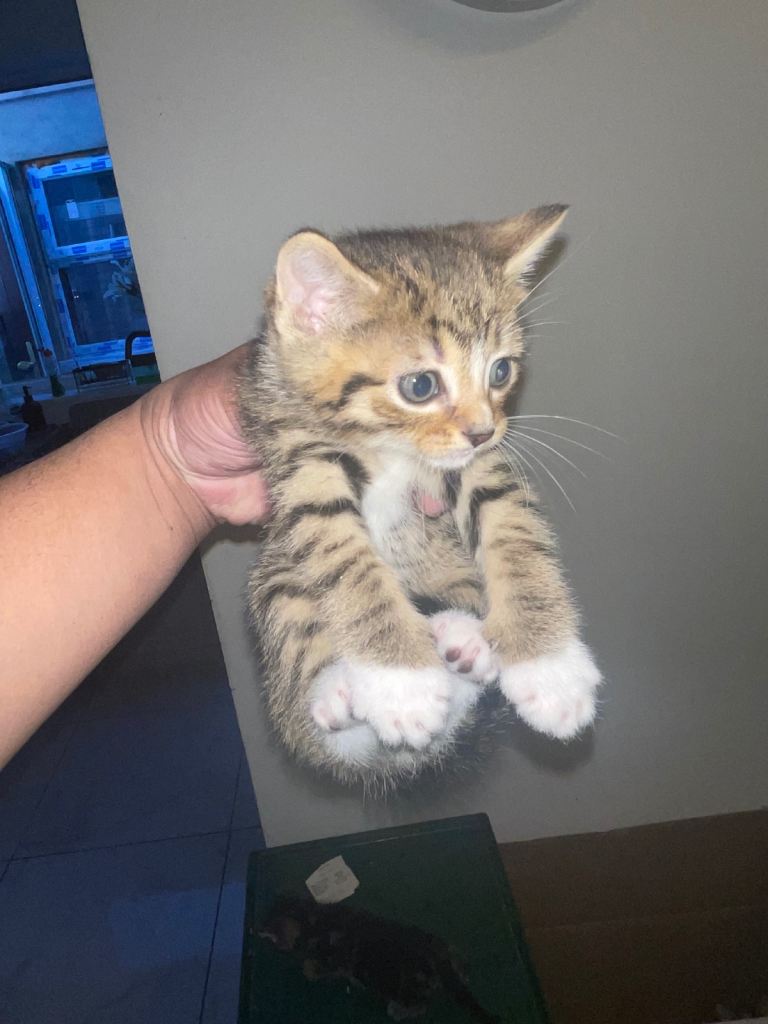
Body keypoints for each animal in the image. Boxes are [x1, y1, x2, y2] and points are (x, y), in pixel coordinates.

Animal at [238, 204, 602, 788]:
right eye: (420, 387)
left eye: (501, 371)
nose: (483, 431)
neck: (392, 449)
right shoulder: (297, 457)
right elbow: (337, 549)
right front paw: (400, 683)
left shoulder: (481, 466)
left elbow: (512, 527)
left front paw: (551, 668)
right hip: (273, 576)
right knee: (330, 728)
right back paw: (339, 691)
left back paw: (465, 643)